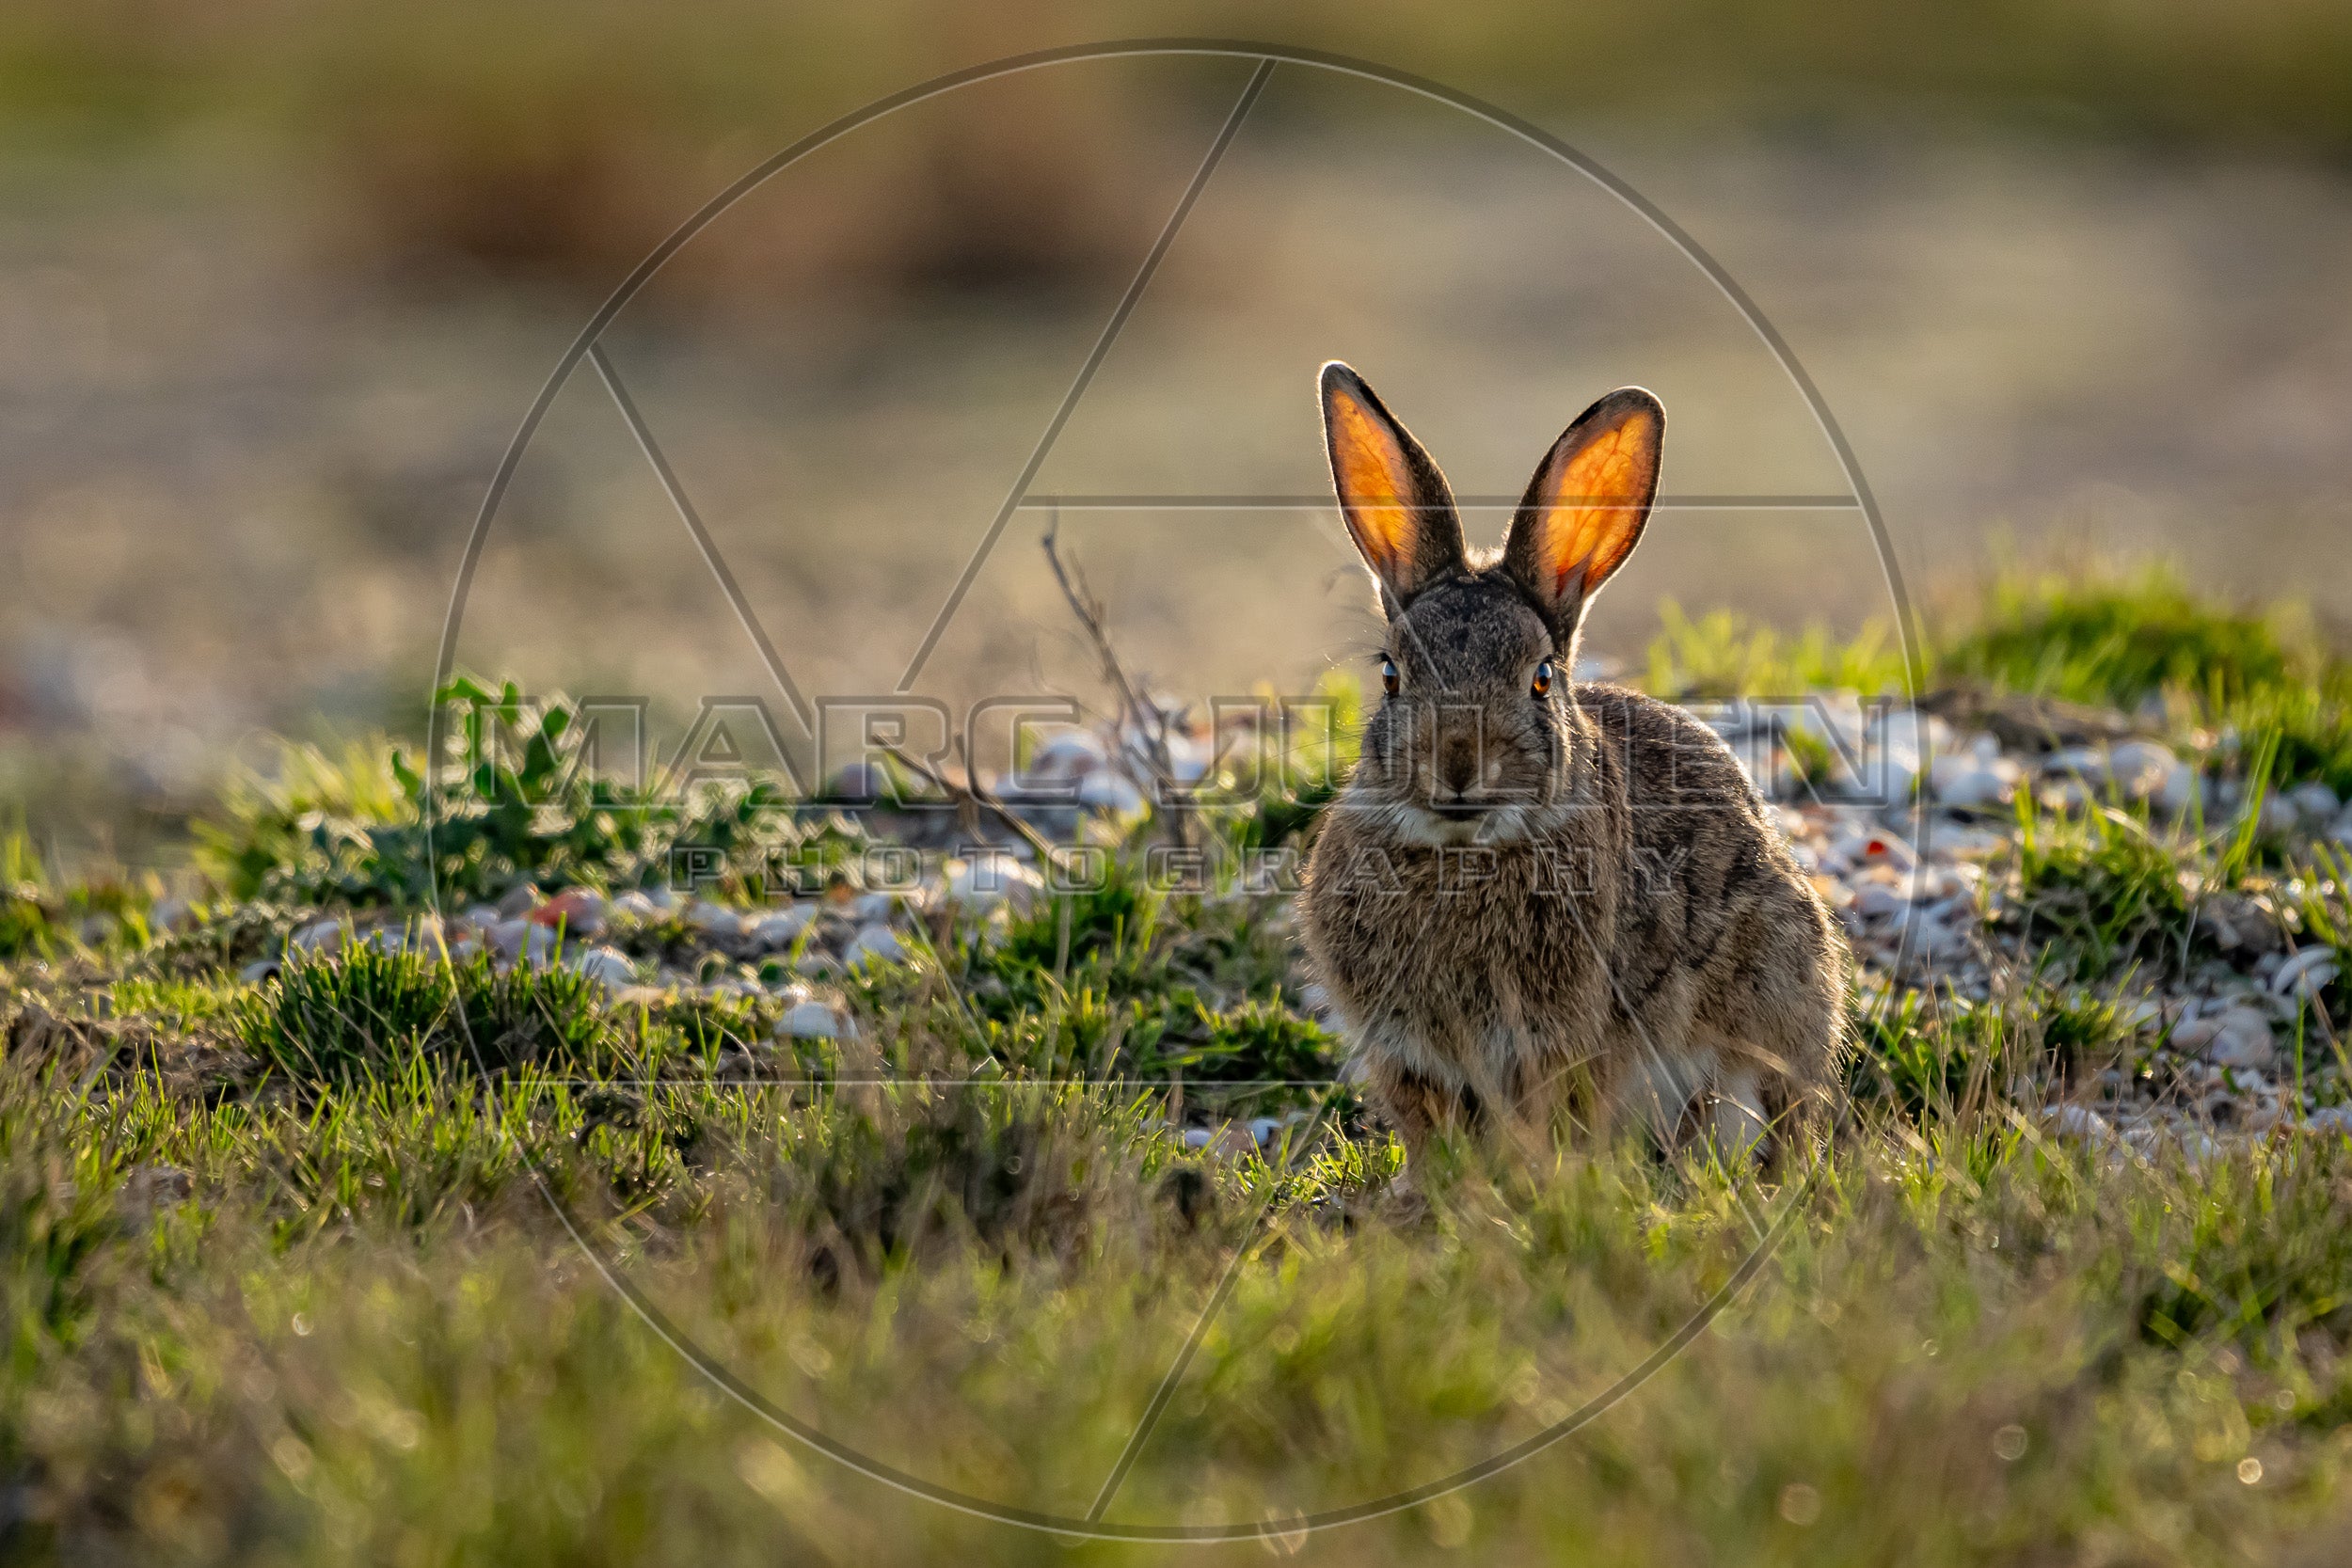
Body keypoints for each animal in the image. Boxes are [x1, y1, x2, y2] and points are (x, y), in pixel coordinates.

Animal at [1297, 362, 1849, 1171]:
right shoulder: (1409, 1056)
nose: (1458, 763)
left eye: (1540, 678)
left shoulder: (1566, 1045)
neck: (1464, 853)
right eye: (1392, 674)